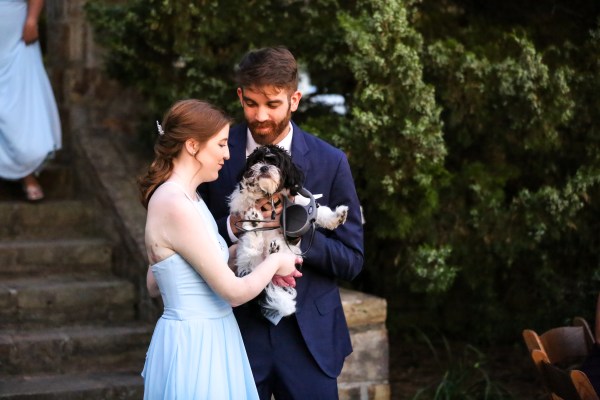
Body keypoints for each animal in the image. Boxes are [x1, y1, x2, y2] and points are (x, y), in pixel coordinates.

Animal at [228, 144, 349, 324]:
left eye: (275, 163)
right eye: (257, 161)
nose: (264, 168)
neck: (270, 196)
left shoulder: (297, 200)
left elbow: (319, 211)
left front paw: (337, 216)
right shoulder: (241, 202)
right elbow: (246, 195)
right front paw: (251, 185)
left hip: (286, 256)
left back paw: (273, 250)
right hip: (246, 256)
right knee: (252, 248)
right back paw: (254, 223)